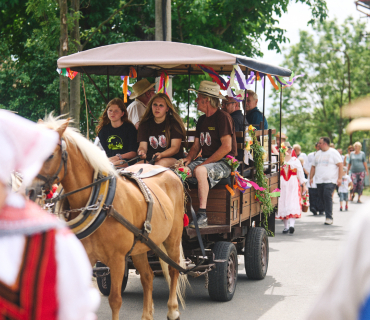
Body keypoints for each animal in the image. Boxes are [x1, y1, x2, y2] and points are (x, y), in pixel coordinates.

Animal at [34, 115, 186, 320]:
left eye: (50, 155)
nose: (30, 188)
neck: (101, 203)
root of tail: (171, 172)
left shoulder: (117, 259)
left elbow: (115, 300)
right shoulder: (87, 257)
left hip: (173, 238)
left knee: (173, 269)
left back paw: (172, 310)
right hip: (140, 245)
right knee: (148, 276)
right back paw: (147, 315)